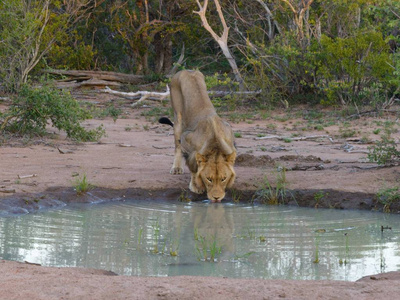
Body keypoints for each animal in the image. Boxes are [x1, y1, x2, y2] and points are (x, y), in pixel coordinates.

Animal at [158, 69, 236, 203]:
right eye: (209, 179)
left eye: (223, 179)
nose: (216, 198)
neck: (215, 144)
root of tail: (186, 70)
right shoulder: (186, 139)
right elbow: (193, 167)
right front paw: (196, 186)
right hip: (178, 117)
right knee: (177, 145)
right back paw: (176, 168)